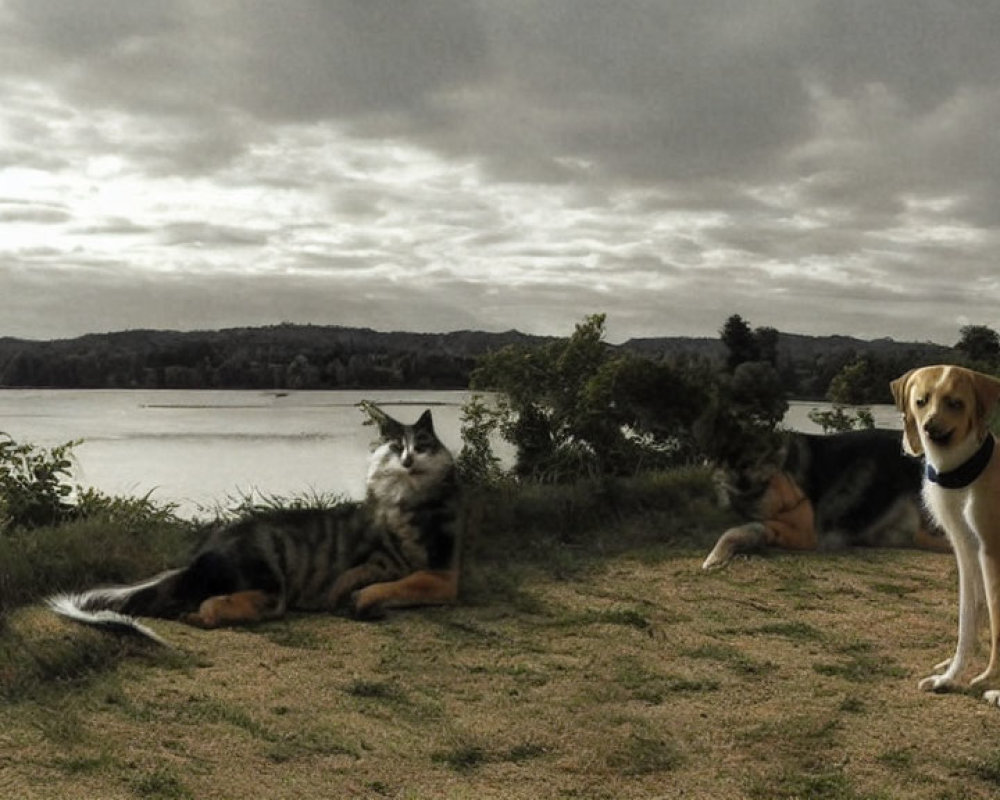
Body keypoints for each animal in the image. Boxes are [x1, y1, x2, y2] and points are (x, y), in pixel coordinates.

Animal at [896, 366, 1000, 704]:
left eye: (956, 403)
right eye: (921, 401)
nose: (930, 426)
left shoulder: (991, 554)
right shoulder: (967, 552)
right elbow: (968, 618)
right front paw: (948, 678)